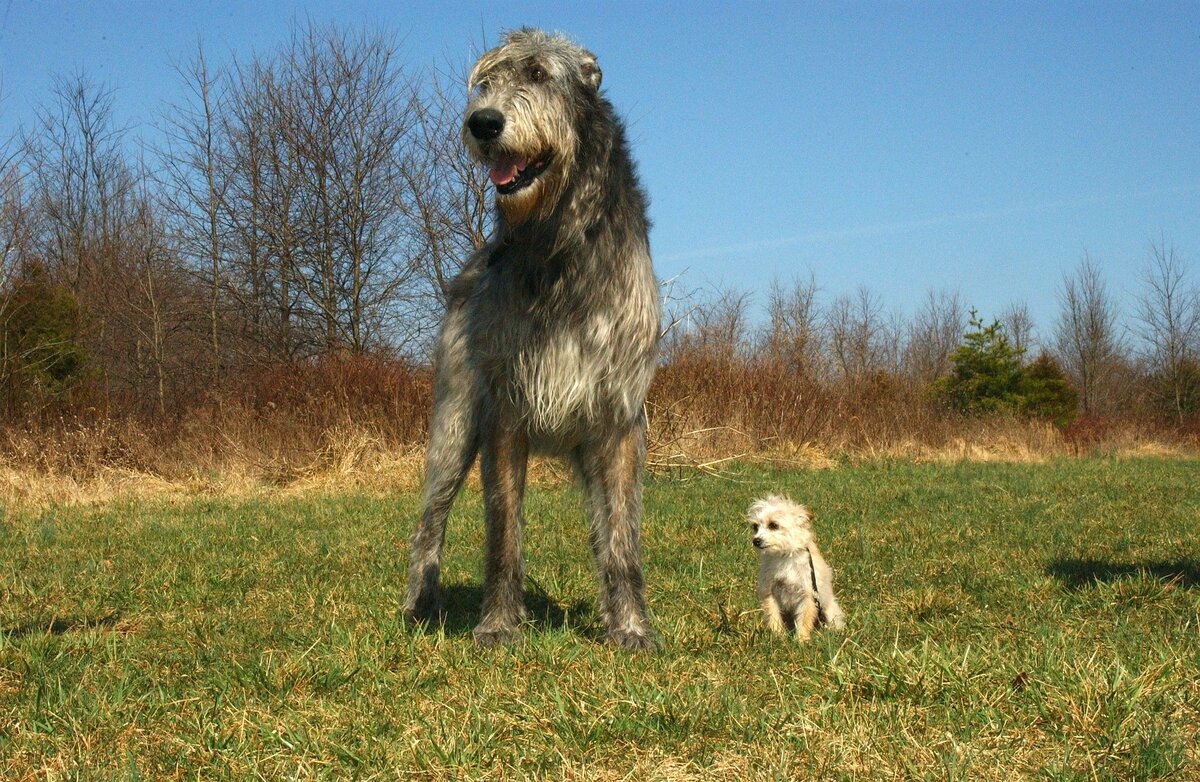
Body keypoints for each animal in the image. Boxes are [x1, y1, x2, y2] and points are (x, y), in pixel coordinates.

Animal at [408, 27, 662, 652]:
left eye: (540, 75)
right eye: (485, 83)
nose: (483, 123)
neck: (558, 242)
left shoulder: (620, 417)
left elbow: (622, 540)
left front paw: (631, 627)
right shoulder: (504, 412)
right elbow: (503, 532)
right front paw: (499, 624)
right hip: (453, 424)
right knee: (430, 520)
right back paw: (420, 604)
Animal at [744, 494, 849, 642]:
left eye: (773, 525)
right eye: (755, 527)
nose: (756, 541)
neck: (784, 556)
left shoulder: (808, 594)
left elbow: (804, 619)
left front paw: (801, 641)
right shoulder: (769, 592)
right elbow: (773, 616)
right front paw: (777, 637)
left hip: (830, 611)